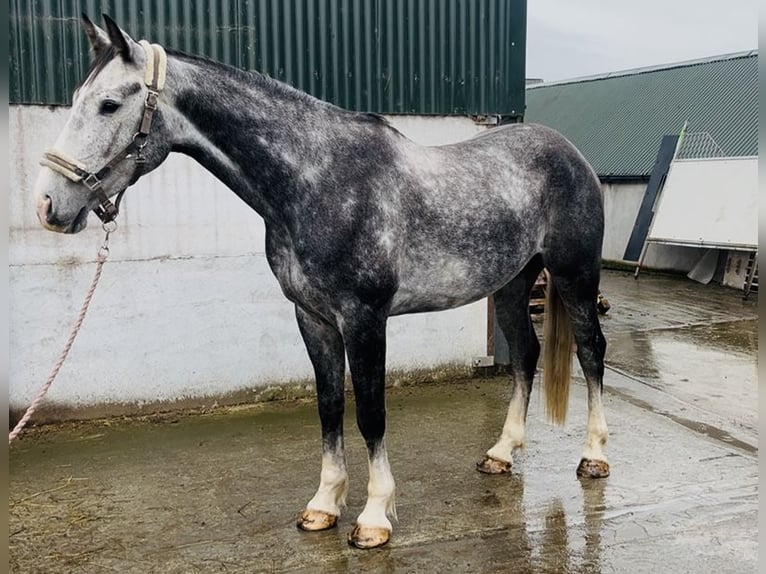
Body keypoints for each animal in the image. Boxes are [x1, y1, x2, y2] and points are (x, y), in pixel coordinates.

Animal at [33, 15, 609, 549]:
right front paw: (324, 505)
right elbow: (330, 407)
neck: (317, 180)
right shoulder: (312, 317)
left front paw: (374, 518)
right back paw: (500, 454)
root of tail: (570, 153)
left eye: (109, 105)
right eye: (76, 99)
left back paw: (594, 457)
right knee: (528, 354)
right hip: (512, 285)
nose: (48, 205)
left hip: (575, 276)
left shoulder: (364, 318)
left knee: (591, 352)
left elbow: (371, 413)